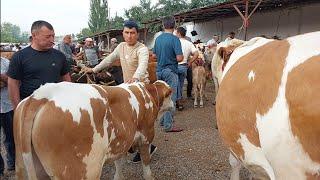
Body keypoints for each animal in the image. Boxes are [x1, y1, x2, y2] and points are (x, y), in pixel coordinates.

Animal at [13, 80, 172, 180]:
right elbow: (146, 164)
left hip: (24, 166)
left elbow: (118, 163)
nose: (173, 105)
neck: (146, 94)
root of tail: (40, 95)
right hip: (82, 170)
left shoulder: (120, 142)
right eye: (170, 94)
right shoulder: (146, 136)